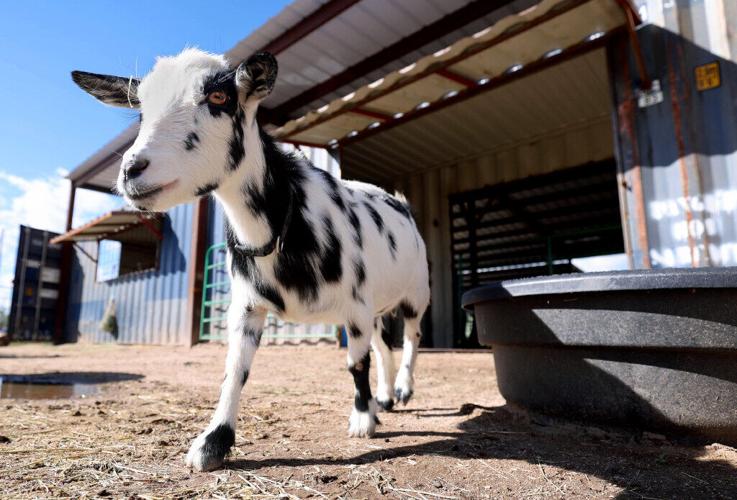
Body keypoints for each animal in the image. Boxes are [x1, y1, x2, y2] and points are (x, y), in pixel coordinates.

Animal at [72, 48, 430, 472]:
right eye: (140, 110)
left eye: (219, 97)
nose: (131, 171)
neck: (286, 218)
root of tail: (400, 202)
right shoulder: (247, 307)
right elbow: (235, 370)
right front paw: (213, 442)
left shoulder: (355, 303)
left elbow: (355, 364)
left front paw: (361, 419)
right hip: (373, 306)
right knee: (382, 345)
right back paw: (386, 397)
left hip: (415, 292)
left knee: (410, 337)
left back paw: (402, 389)